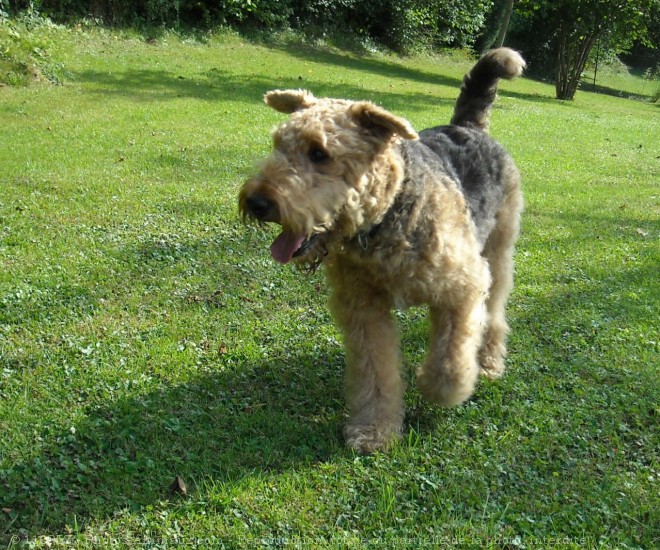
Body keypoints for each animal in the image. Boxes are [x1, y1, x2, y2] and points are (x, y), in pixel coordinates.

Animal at [240, 47, 524, 454]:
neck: (384, 218)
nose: (257, 202)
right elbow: (375, 373)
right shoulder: (362, 307)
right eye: (278, 143)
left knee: (494, 313)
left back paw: (486, 362)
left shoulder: (462, 286)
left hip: (498, 253)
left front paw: (438, 388)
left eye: (319, 153)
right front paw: (374, 430)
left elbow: (449, 363)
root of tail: (468, 126)